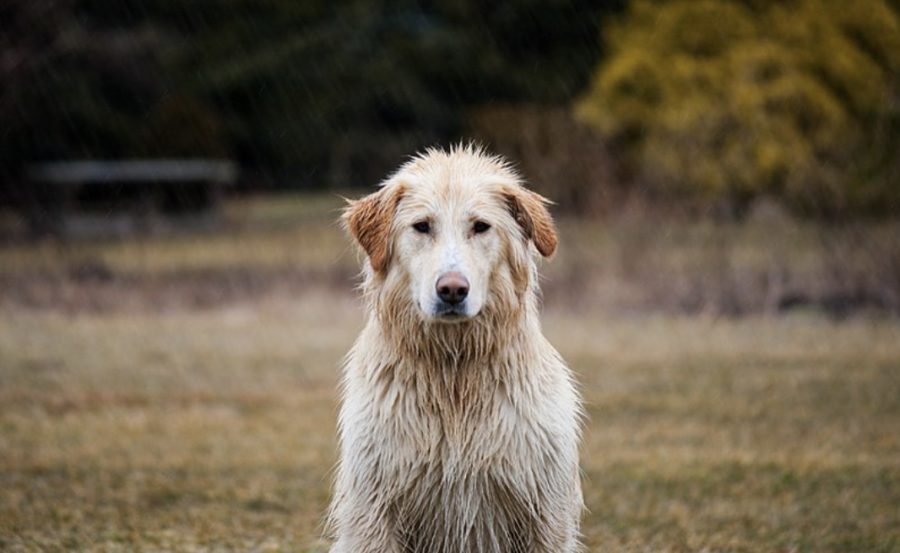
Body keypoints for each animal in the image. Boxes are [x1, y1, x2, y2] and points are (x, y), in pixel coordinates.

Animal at [330, 144, 584, 548]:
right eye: (422, 226)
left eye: (480, 226)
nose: (452, 290)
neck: (455, 372)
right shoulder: (373, 509)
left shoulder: (546, 512)